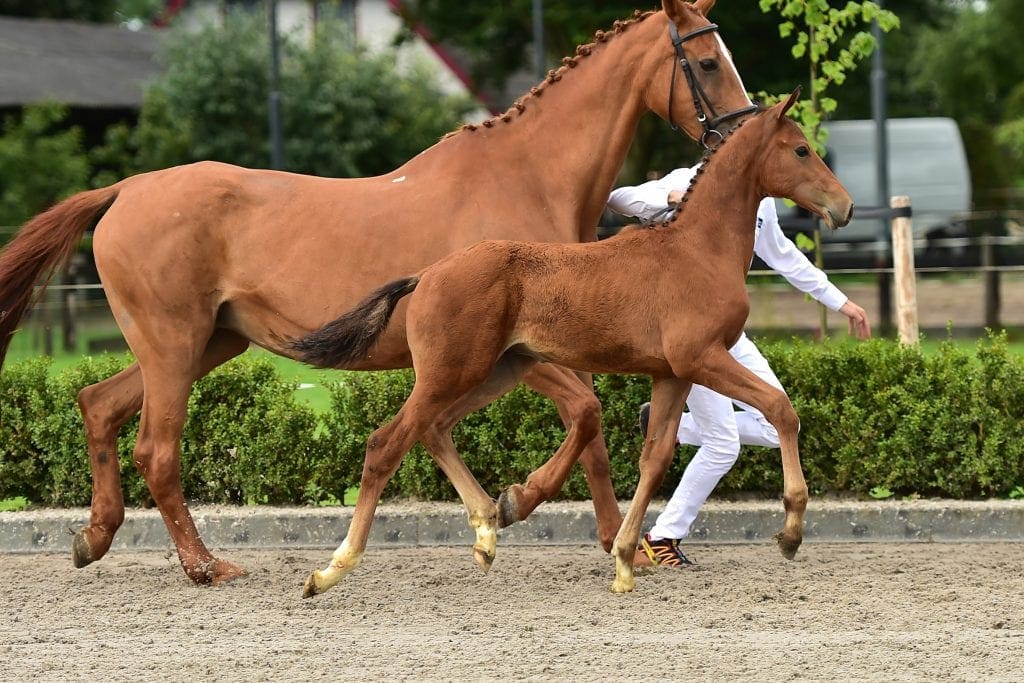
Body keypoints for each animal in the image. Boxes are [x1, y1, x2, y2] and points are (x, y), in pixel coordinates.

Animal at [0, 0, 757, 587]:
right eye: (707, 62)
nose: (742, 132)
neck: (526, 179)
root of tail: (127, 189)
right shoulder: (518, 351)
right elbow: (586, 414)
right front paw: (517, 504)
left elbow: (587, 431)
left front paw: (604, 540)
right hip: (174, 344)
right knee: (156, 450)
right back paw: (205, 566)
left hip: (206, 344)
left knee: (98, 406)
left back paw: (93, 538)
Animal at [292, 88, 853, 596]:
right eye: (800, 149)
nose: (844, 207)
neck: (697, 249)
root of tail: (427, 274)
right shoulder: (702, 357)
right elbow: (781, 409)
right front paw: (790, 532)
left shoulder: (672, 373)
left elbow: (655, 457)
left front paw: (625, 561)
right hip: (453, 372)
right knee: (386, 443)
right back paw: (331, 570)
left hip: (497, 370)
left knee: (434, 428)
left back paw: (489, 526)